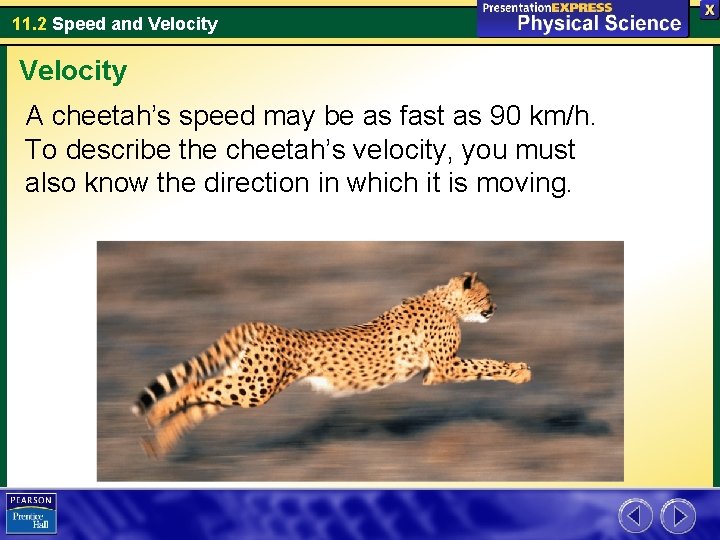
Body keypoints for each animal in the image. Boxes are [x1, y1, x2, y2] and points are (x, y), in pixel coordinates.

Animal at [132, 272, 532, 457]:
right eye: (488, 294)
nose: (496, 307)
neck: (446, 302)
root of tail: (265, 324)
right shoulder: (442, 369)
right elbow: (486, 364)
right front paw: (520, 372)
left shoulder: (433, 372)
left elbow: (483, 364)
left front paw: (519, 370)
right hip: (255, 387)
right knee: (194, 387)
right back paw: (156, 416)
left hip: (248, 382)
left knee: (196, 403)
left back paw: (158, 442)